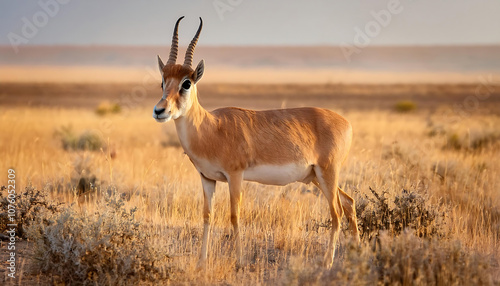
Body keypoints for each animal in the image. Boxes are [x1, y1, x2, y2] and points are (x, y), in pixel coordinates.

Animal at [152, 17, 360, 268]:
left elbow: (234, 215)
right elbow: (207, 216)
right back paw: (358, 254)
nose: (159, 111)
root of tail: (346, 122)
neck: (212, 128)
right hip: (316, 177)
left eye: (186, 83)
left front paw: (240, 261)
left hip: (327, 173)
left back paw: (328, 262)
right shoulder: (207, 178)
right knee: (349, 202)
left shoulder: (235, 175)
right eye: (162, 81)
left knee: (336, 212)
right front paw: (201, 263)